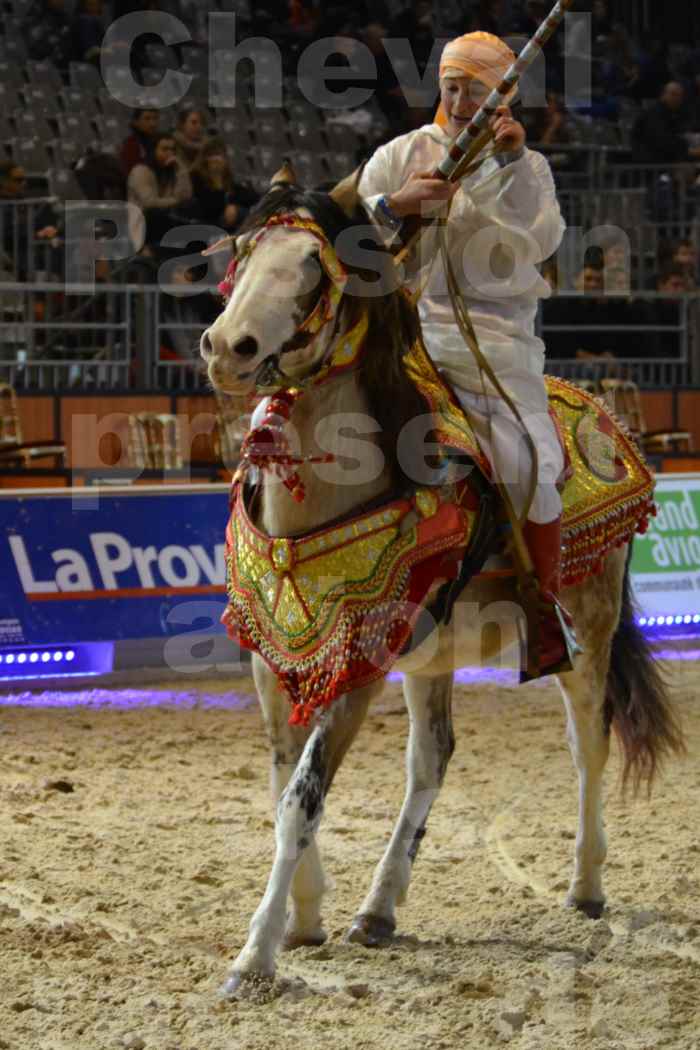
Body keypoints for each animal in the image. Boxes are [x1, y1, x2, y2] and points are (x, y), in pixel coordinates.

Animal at [199, 168, 688, 995]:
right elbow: (284, 788)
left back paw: (586, 887)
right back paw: (378, 909)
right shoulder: (274, 662)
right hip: (431, 656)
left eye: (313, 266)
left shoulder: (359, 667)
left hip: (585, 629)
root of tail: (609, 419)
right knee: (433, 757)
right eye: (242, 248)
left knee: (588, 742)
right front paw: (307, 916)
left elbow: (302, 800)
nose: (227, 347)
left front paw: (255, 955)